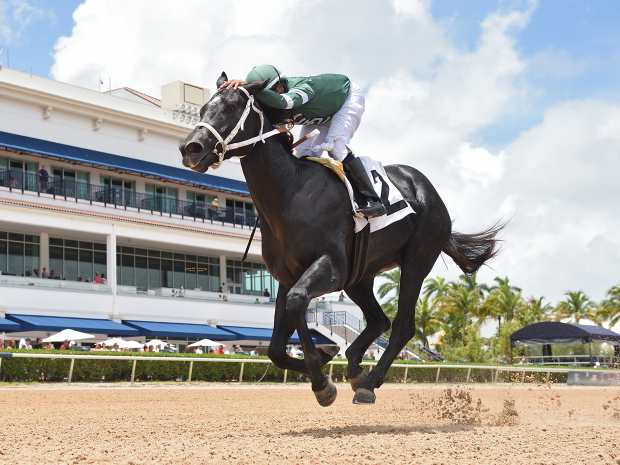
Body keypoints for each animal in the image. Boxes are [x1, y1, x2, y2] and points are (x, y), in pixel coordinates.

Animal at [179, 70, 504, 404]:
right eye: (203, 109)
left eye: (231, 107)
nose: (191, 148)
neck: (291, 192)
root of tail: (428, 190)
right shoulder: (288, 276)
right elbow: (276, 345)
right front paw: (324, 364)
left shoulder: (332, 266)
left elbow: (298, 303)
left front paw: (323, 382)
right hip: (360, 276)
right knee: (379, 319)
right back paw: (355, 367)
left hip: (417, 260)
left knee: (402, 325)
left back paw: (369, 383)